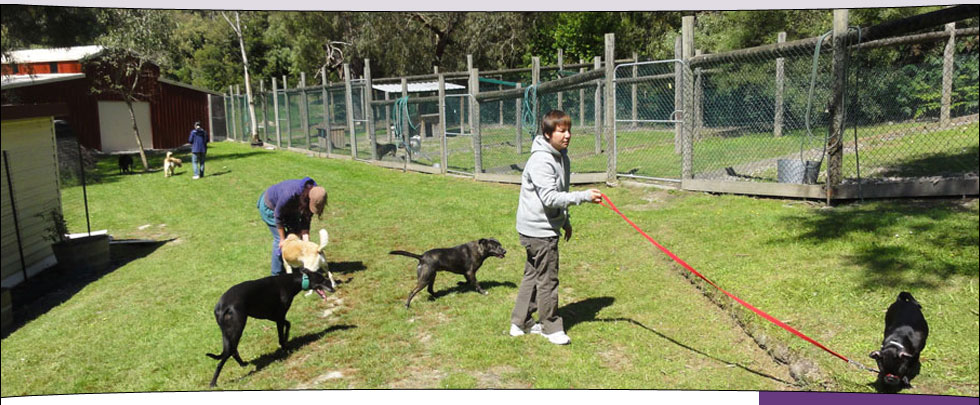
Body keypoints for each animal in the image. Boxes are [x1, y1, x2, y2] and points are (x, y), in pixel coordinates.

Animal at [205, 266, 334, 386]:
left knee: (233, 350)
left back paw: (243, 364)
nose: (333, 288)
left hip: (227, 332)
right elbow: (282, 335)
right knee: (225, 356)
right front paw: (286, 348)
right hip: (237, 328)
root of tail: (222, 307)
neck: (292, 281)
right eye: (322, 279)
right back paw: (213, 382)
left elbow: (288, 324)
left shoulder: (273, 316)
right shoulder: (279, 316)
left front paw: (287, 339)